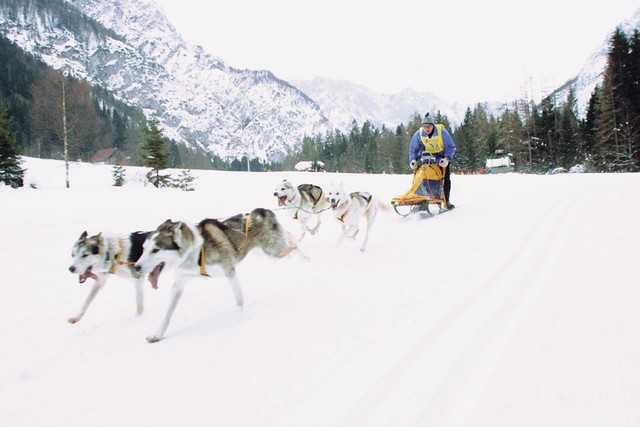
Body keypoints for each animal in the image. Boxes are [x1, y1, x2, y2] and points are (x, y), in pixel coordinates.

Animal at [134, 208, 306, 344]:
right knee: (290, 250)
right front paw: (158, 333)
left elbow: (239, 299)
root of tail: (263, 210)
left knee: (293, 245)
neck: (197, 249)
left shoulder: (229, 272)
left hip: (273, 250)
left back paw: (307, 259)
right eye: (144, 248)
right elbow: (168, 313)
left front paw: (238, 316)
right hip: (266, 252)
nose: (136, 267)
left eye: (155, 250)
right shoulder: (179, 283)